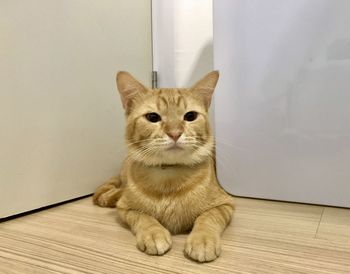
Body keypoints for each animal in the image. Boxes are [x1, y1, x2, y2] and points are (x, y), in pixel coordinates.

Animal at [94, 71, 234, 264]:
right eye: (153, 117)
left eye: (190, 116)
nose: (175, 133)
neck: (169, 177)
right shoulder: (125, 209)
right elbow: (143, 216)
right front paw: (154, 233)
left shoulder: (225, 204)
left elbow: (208, 217)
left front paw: (203, 239)